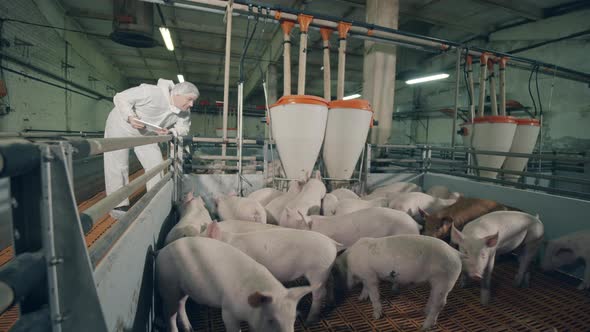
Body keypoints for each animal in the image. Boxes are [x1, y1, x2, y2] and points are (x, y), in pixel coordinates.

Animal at [157, 237, 314, 332]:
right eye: (271, 320)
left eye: (293, 319)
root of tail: (162, 250)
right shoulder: (228, 311)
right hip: (168, 286)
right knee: (169, 313)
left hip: (182, 288)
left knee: (181, 304)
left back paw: (189, 328)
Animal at [209, 223, 344, 322]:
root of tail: (332, 243)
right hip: (326, 269)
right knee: (331, 282)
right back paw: (330, 303)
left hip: (317, 271)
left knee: (319, 293)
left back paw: (309, 321)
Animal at [336, 235, 464, 330]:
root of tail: (456, 253)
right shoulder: (365, 277)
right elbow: (365, 288)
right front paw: (361, 299)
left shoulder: (370, 276)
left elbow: (374, 296)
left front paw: (376, 317)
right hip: (438, 282)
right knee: (433, 297)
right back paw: (425, 312)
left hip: (445, 280)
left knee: (440, 304)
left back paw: (424, 327)